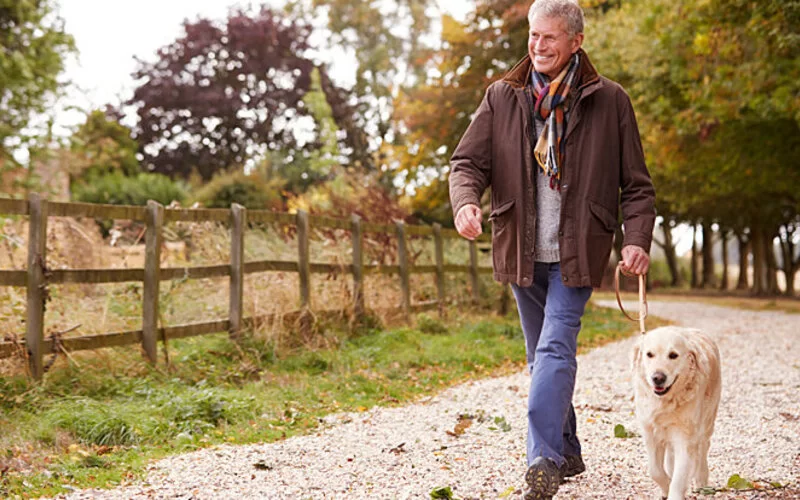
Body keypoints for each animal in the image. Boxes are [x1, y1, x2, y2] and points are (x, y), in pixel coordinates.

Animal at [636, 326, 720, 498]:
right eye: (649, 354)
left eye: (673, 355)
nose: (658, 378)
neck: (665, 401)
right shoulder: (650, 433)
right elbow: (655, 470)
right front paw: (666, 487)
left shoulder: (685, 437)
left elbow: (679, 477)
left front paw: (673, 490)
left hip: (707, 423)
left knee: (703, 449)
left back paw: (701, 480)